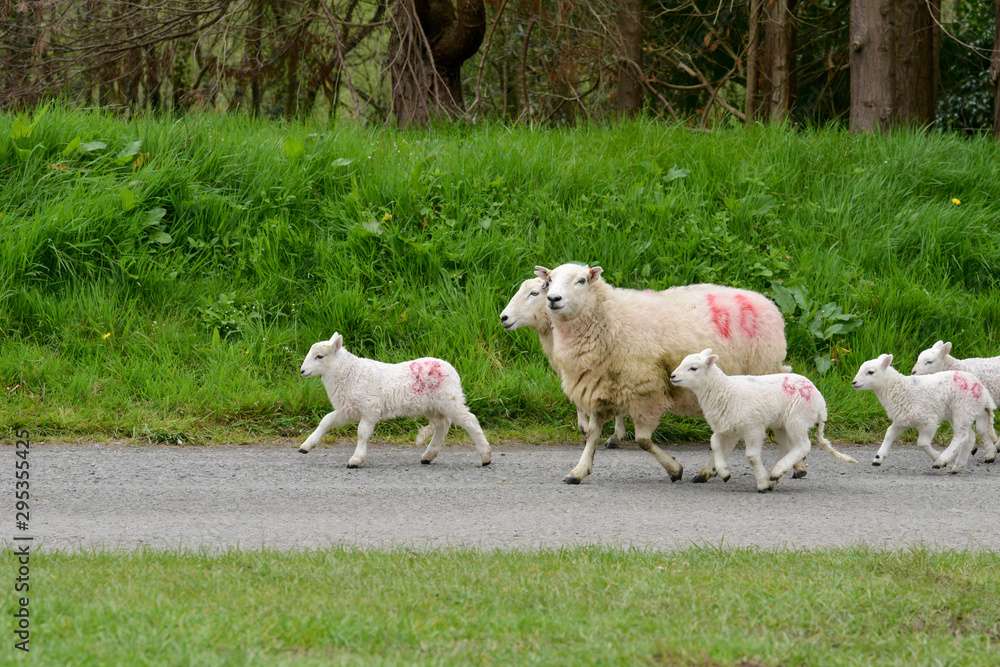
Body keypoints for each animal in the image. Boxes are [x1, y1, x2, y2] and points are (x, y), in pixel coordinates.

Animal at [297, 333, 492, 468]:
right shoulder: (348, 408)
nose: (302, 371)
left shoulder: (369, 408)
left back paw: (485, 456)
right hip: (432, 405)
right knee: (443, 424)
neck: (347, 372)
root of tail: (451, 368)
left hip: (449, 399)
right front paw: (306, 446)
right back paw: (428, 456)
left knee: (470, 421)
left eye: (319, 356)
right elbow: (326, 420)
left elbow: (362, 433)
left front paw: (356, 459)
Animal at [536, 263, 793, 485]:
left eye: (581, 280)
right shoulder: (600, 389)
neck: (612, 321)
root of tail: (770, 306)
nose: (553, 299)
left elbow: (642, 441)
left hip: (760, 377)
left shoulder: (645, 392)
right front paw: (579, 471)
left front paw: (674, 468)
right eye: (549, 281)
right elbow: (592, 435)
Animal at [669, 349, 857, 492]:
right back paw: (775, 476)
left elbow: (751, 456)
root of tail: (821, 404)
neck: (724, 389)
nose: (672, 376)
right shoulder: (727, 426)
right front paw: (724, 473)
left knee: (803, 445)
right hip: (783, 425)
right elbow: (714, 443)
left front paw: (761, 483)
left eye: (693, 368)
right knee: (788, 447)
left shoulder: (753, 427)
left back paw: (776, 472)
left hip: (797, 418)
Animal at [852, 354, 998, 472]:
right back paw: (958, 466)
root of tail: (981, 388)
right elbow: (889, 434)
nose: (854, 382)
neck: (900, 389)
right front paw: (878, 458)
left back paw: (942, 461)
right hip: (958, 413)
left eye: (870, 372)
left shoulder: (928, 421)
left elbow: (921, 443)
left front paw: (937, 456)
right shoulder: (902, 420)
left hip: (963, 408)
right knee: (969, 436)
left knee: (961, 436)